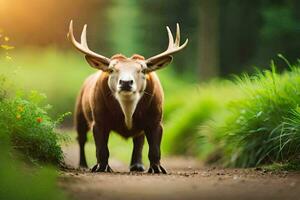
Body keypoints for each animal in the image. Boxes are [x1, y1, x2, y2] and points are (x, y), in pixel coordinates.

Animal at [68, 20, 188, 173]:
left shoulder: (156, 119)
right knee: (81, 138)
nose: (126, 82)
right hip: (79, 113)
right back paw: (83, 164)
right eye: (112, 69)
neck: (128, 111)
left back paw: (137, 165)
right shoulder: (98, 119)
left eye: (143, 70)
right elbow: (101, 148)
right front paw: (101, 167)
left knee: (139, 139)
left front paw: (157, 168)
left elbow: (155, 148)